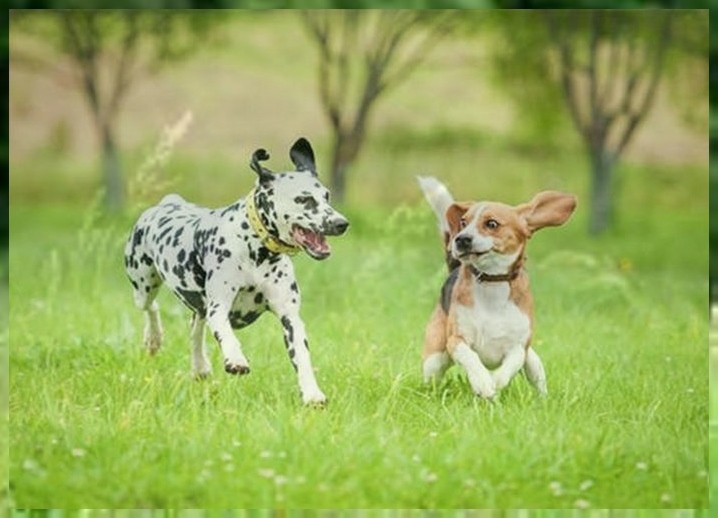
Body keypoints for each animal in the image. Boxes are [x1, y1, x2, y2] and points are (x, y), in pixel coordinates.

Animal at [125, 138, 350, 406]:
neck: (256, 251)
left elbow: (303, 357)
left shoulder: (290, 317)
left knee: (195, 326)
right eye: (304, 199)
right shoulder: (219, 307)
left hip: (195, 305)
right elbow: (226, 334)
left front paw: (312, 393)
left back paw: (200, 366)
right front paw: (236, 359)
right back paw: (153, 339)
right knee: (152, 308)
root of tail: (167, 202)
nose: (341, 223)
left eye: (327, 196)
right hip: (144, 286)